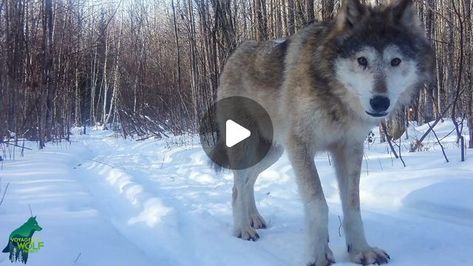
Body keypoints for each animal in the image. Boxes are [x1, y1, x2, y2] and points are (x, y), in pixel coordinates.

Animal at [216, 0, 434, 264]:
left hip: (273, 153)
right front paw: (318, 254)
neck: (334, 95)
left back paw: (254, 219)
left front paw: (361, 250)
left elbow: (353, 206)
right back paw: (243, 229)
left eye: (395, 61)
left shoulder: (350, 148)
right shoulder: (300, 146)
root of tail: (237, 51)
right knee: (238, 187)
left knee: (248, 181)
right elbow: (318, 203)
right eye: (362, 60)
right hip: (249, 148)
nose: (380, 102)